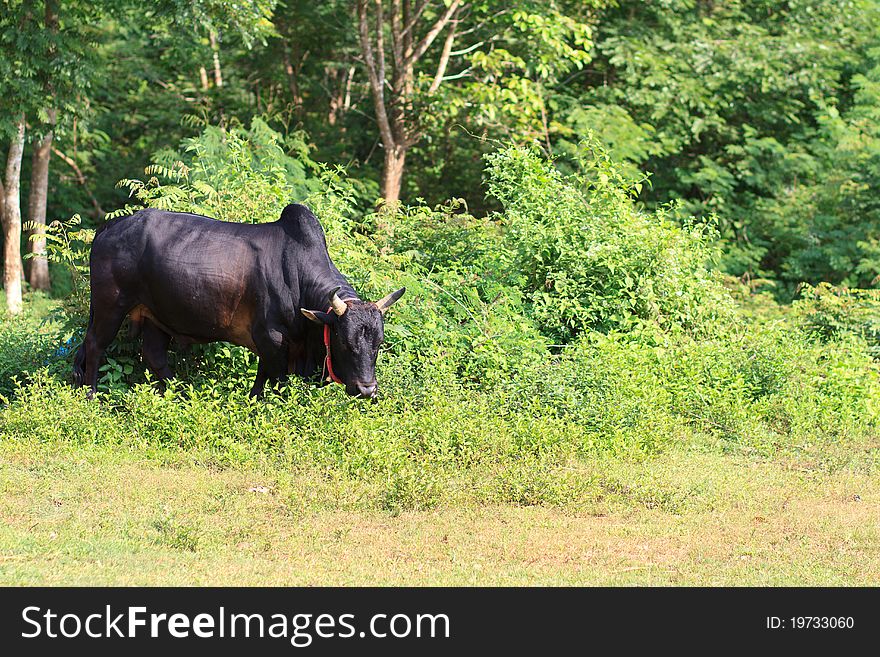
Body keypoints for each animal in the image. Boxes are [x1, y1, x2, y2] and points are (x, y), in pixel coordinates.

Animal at [74, 205, 404, 398]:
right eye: (344, 342)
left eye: (379, 343)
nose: (367, 389)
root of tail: (110, 226)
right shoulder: (272, 337)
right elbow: (279, 381)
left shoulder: (270, 343)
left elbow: (262, 376)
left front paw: (253, 401)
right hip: (109, 305)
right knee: (94, 344)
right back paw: (91, 395)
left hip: (156, 314)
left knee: (154, 355)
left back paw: (181, 396)